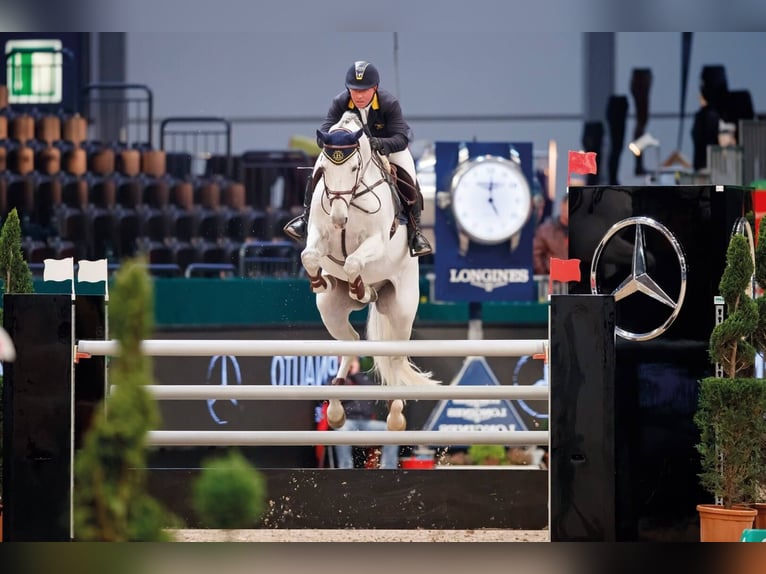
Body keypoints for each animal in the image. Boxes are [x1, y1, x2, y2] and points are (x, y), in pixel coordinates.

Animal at [300, 111, 438, 432]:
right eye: (324, 169)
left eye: (353, 167)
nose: (339, 219)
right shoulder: (318, 235)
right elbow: (309, 255)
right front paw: (320, 281)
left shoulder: (376, 241)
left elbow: (353, 262)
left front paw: (360, 288)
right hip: (331, 310)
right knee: (350, 342)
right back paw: (335, 407)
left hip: (401, 310)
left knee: (395, 357)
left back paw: (396, 413)